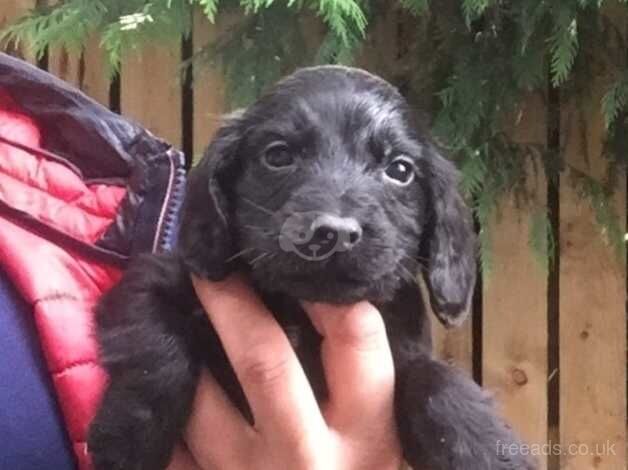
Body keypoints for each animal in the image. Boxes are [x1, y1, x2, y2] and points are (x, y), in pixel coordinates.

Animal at [88, 67, 536, 470]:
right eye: (278, 155)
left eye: (400, 170)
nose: (333, 233)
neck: (299, 310)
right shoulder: (151, 281)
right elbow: (158, 352)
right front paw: (129, 436)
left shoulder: (401, 351)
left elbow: (436, 379)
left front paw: (484, 449)